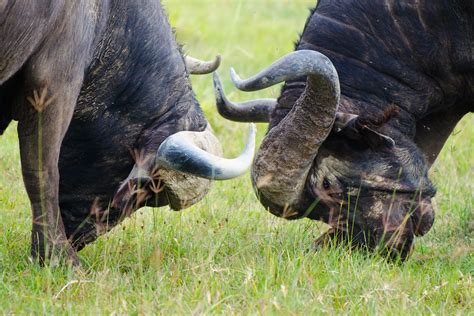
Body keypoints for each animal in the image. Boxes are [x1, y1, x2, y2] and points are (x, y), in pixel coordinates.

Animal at [0, 1, 256, 266]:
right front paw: (58, 257)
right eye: (148, 191)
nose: (75, 237)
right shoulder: (53, 85)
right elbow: (42, 172)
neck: (109, 14)